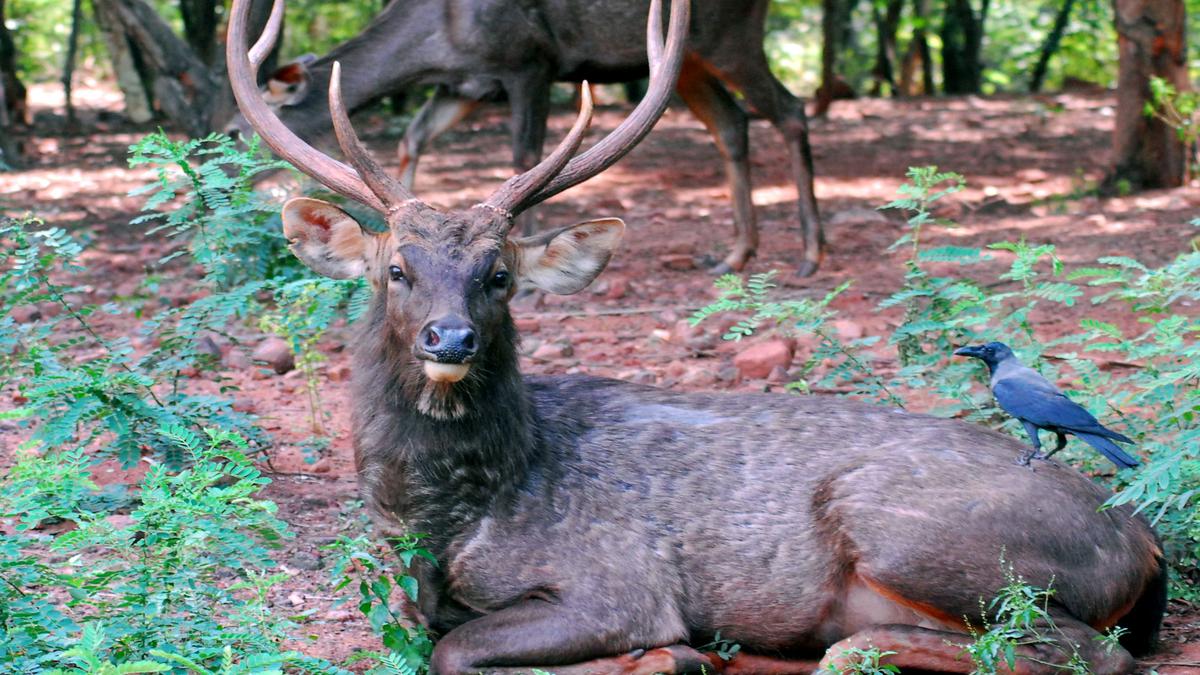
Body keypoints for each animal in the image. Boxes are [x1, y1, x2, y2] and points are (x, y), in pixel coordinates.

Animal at [225, 0, 825, 276]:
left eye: (234, 132)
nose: (222, 197)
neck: (439, 39)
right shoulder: (464, 85)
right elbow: (412, 138)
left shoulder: (530, 64)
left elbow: (525, 152)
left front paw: (534, 241)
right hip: (694, 61)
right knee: (733, 123)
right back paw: (737, 253)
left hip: (730, 38)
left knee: (791, 110)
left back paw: (811, 252)